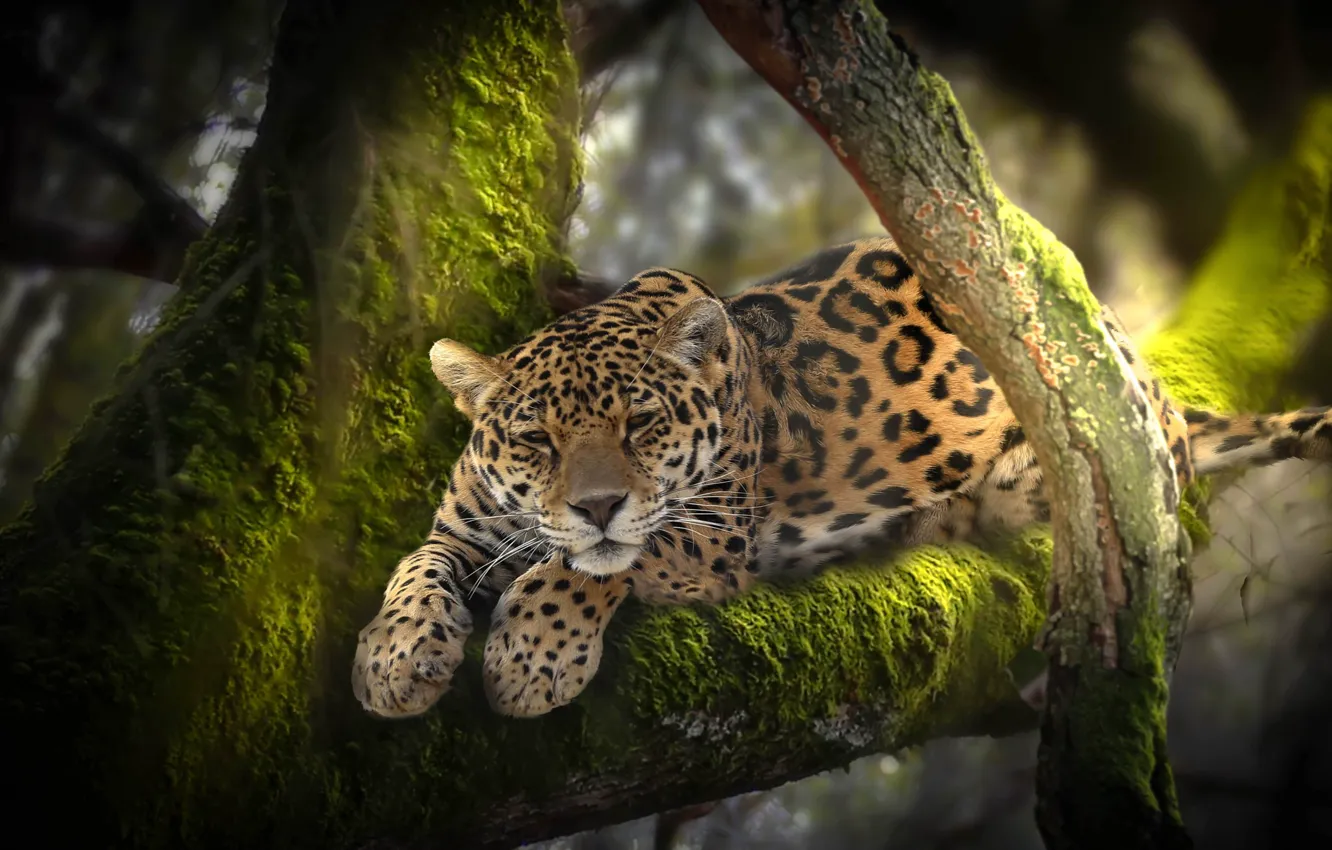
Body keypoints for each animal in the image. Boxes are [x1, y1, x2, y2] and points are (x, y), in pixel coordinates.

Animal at [351, 236, 1332, 720]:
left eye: (642, 425)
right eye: (536, 441)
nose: (596, 504)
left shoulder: (708, 541)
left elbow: (588, 565)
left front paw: (532, 656)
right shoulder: (458, 531)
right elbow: (415, 570)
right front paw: (394, 658)